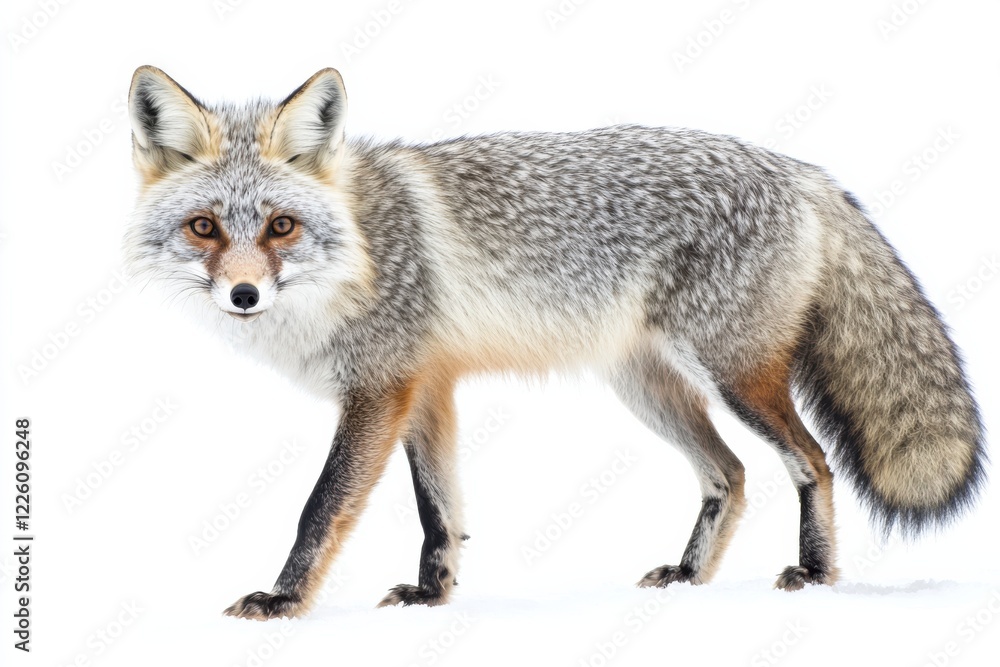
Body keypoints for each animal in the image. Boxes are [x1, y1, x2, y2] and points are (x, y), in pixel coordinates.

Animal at [124, 66, 986, 620]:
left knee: (813, 461)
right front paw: (433, 597)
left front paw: (284, 598)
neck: (357, 253)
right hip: (649, 388)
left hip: (736, 376)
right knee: (732, 474)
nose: (243, 295)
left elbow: (321, 507)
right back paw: (689, 576)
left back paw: (815, 573)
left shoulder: (379, 388)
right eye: (204, 227)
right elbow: (440, 511)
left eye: (281, 226)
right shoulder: (427, 388)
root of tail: (801, 168)